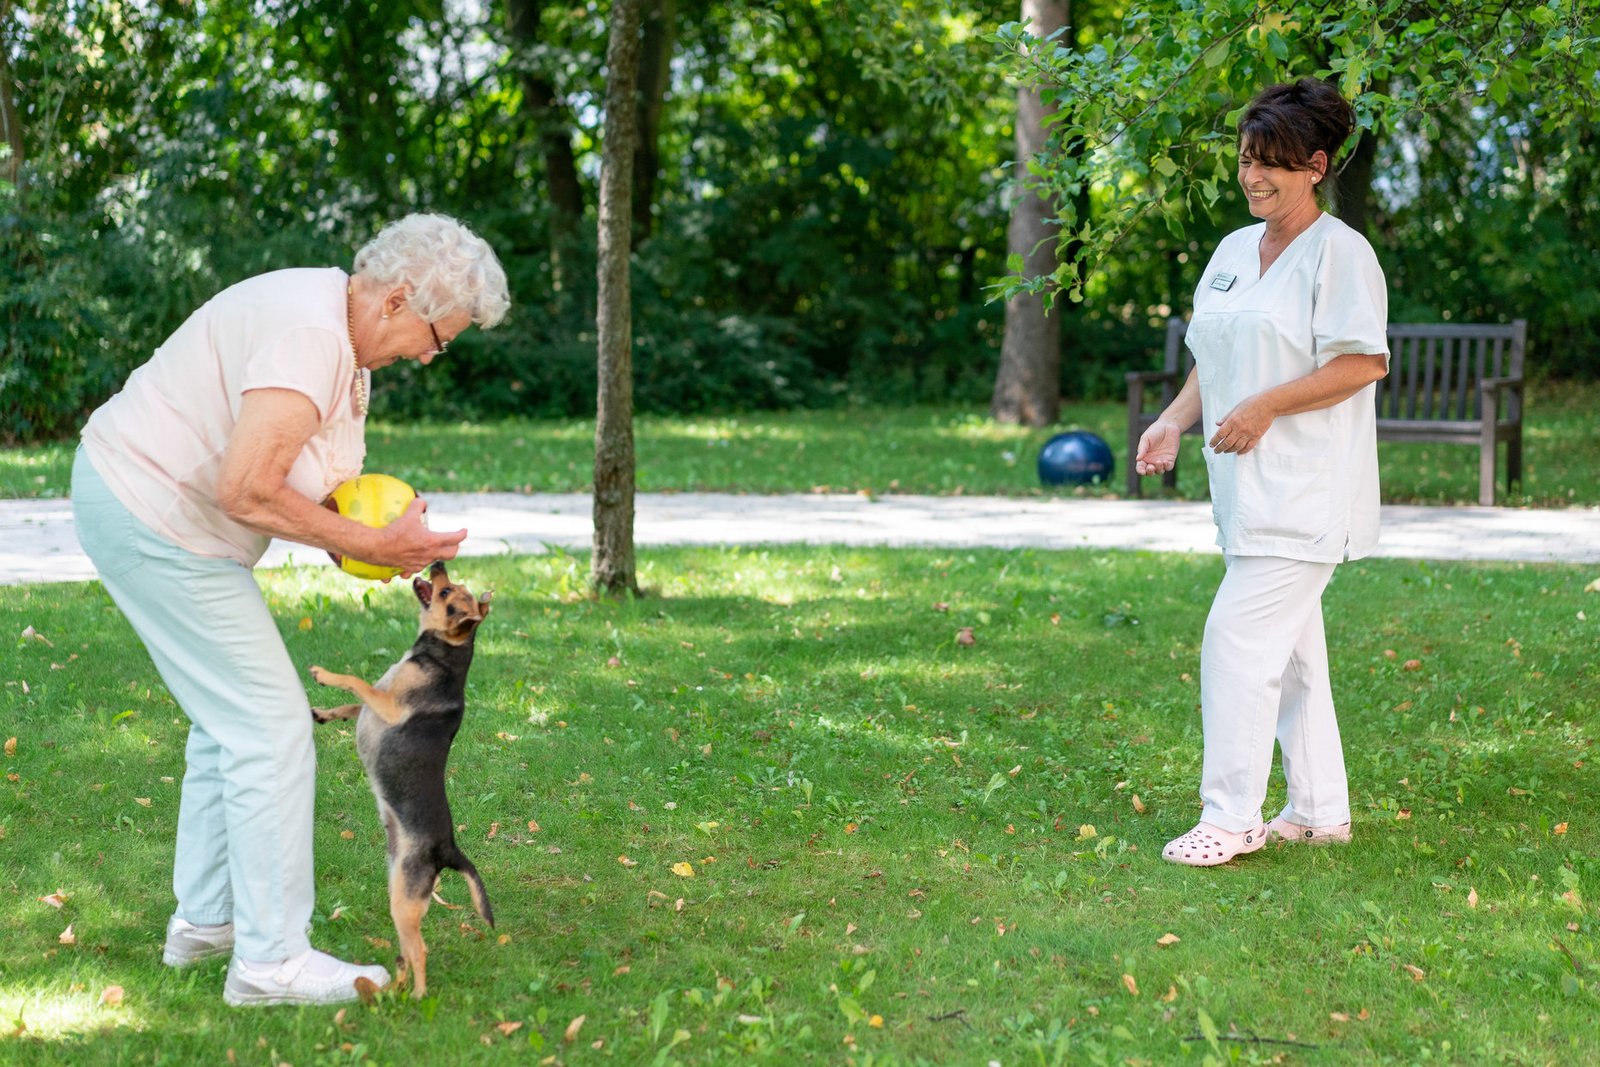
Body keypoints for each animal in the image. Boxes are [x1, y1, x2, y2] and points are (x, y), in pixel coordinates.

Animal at [305, 563, 489, 998]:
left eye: (447, 593)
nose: (437, 563)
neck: (442, 657)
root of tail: (449, 849)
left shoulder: (386, 705)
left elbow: (355, 681)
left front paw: (325, 675)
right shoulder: (372, 707)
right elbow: (351, 704)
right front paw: (322, 713)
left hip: (405, 900)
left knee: (420, 950)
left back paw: (418, 997)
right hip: (400, 893)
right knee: (407, 950)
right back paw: (392, 988)